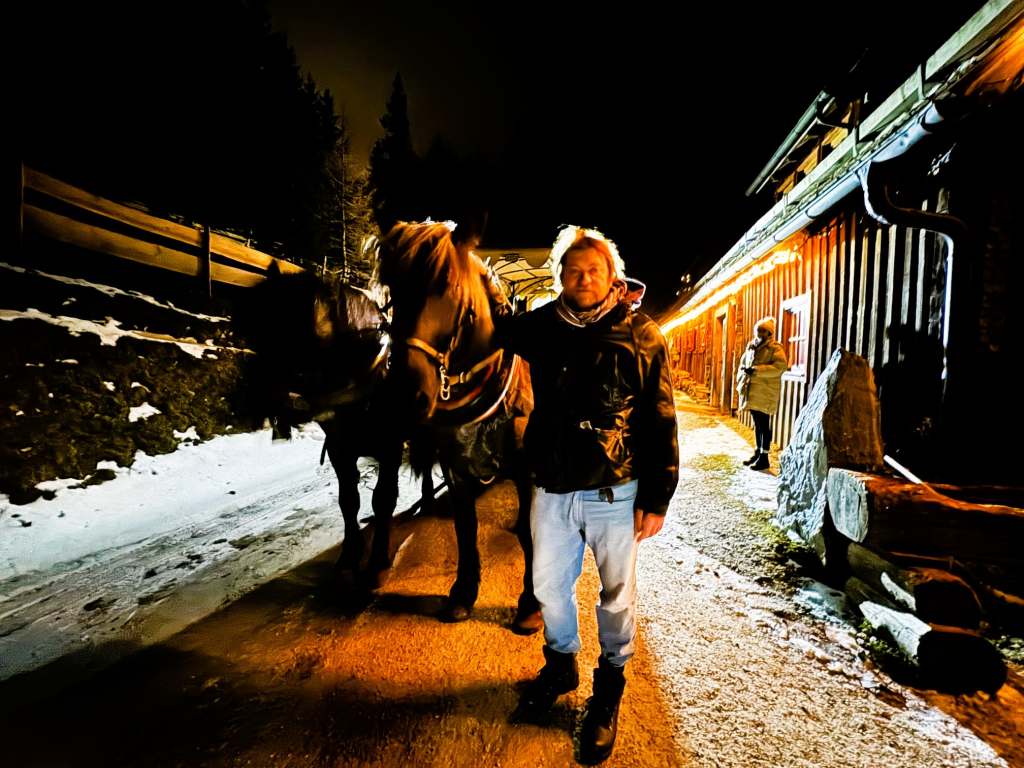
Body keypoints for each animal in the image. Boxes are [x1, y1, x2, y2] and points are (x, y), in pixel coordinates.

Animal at [374, 219, 540, 626]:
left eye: (448, 288)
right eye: (393, 288)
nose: (405, 394)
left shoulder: (529, 470)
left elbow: (533, 534)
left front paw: (532, 602)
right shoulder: (456, 468)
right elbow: (466, 528)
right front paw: (463, 592)